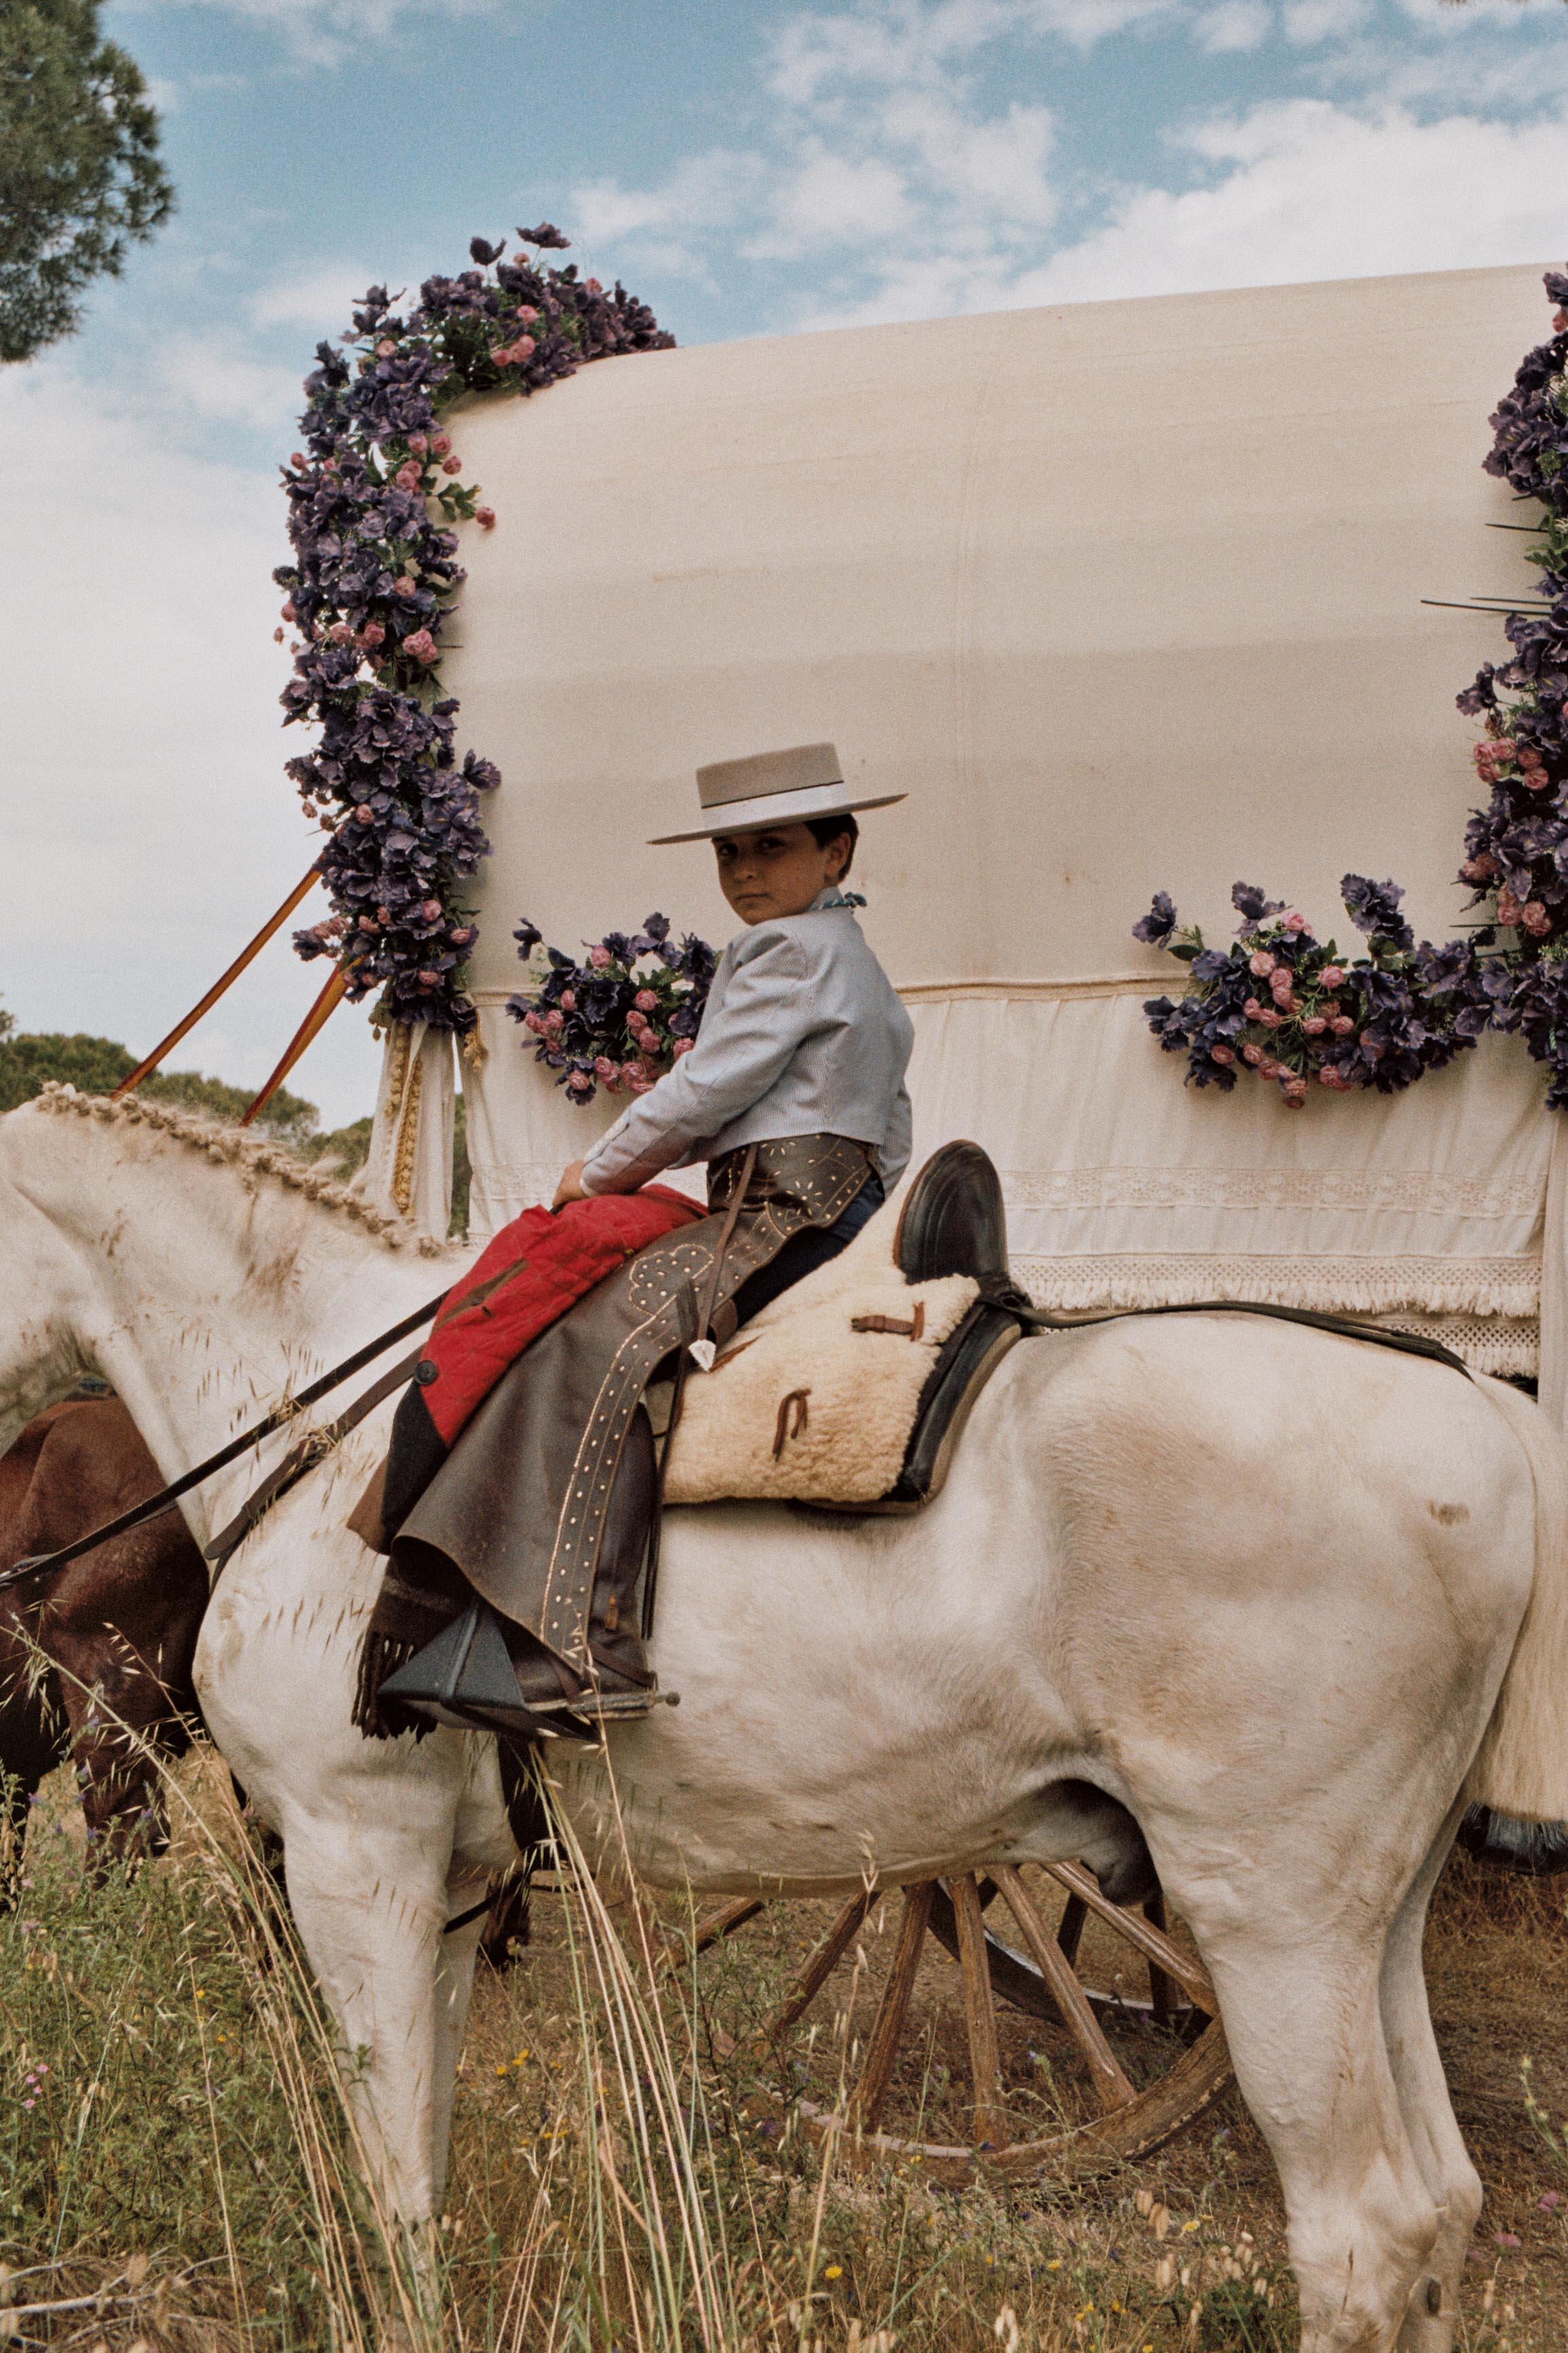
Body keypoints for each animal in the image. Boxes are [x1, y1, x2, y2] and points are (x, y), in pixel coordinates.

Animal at [3, 1082, 1563, 2353]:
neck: (323, 1417)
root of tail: (1480, 1406)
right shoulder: (436, 1875)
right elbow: (423, 2140)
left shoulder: (351, 1850)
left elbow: (389, 2163)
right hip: (1369, 1918)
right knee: (1435, 2206)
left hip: (1269, 1922)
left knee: (1361, 2236)